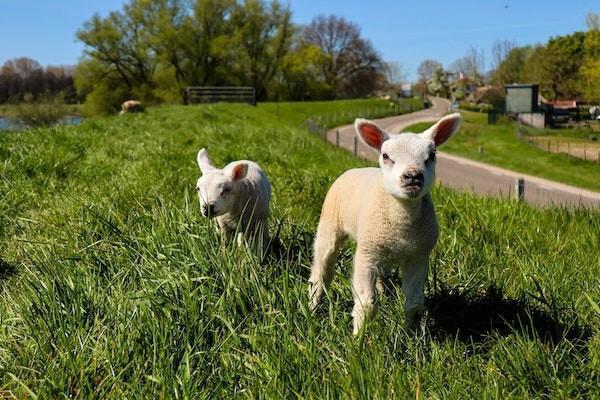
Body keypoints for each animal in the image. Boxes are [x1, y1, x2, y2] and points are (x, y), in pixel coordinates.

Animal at [308, 112, 462, 334]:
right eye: (386, 156)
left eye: (432, 155)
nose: (412, 176)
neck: (403, 225)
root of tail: (354, 168)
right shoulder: (366, 255)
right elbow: (365, 304)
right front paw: (358, 338)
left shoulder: (419, 257)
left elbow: (414, 303)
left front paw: (410, 334)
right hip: (330, 224)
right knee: (322, 271)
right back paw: (312, 307)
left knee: (384, 276)